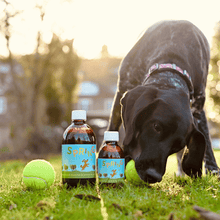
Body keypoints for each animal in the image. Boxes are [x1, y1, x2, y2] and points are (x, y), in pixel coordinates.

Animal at [107, 20, 219, 183]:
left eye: (177, 145)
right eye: (156, 126)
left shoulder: (198, 109)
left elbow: (207, 145)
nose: (153, 175)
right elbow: (112, 129)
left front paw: (212, 170)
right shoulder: (122, 89)